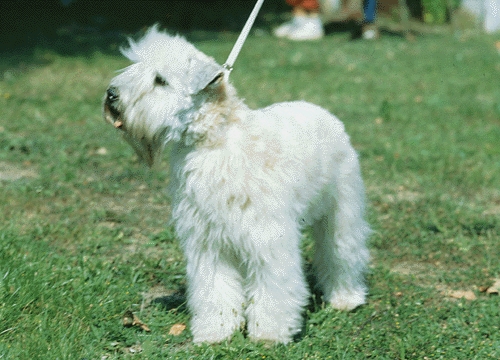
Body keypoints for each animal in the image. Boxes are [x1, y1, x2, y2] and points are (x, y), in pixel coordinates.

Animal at [103, 26, 370, 344]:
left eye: (160, 80)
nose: (111, 95)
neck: (215, 139)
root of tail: (324, 113)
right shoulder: (207, 240)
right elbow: (214, 288)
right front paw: (215, 330)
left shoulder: (268, 237)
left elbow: (274, 287)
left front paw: (269, 333)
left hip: (341, 212)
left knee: (342, 253)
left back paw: (346, 298)